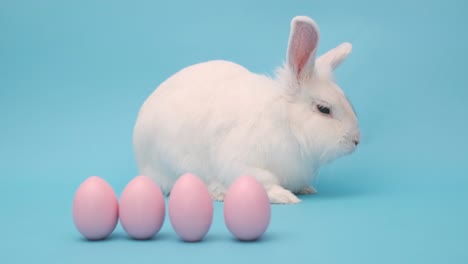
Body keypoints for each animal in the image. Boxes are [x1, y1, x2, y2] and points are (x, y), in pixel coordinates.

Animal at [133, 15, 360, 203]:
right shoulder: (242, 162)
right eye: (324, 109)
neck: (286, 122)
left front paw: (306, 189)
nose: (356, 140)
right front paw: (284, 196)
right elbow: (263, 180)